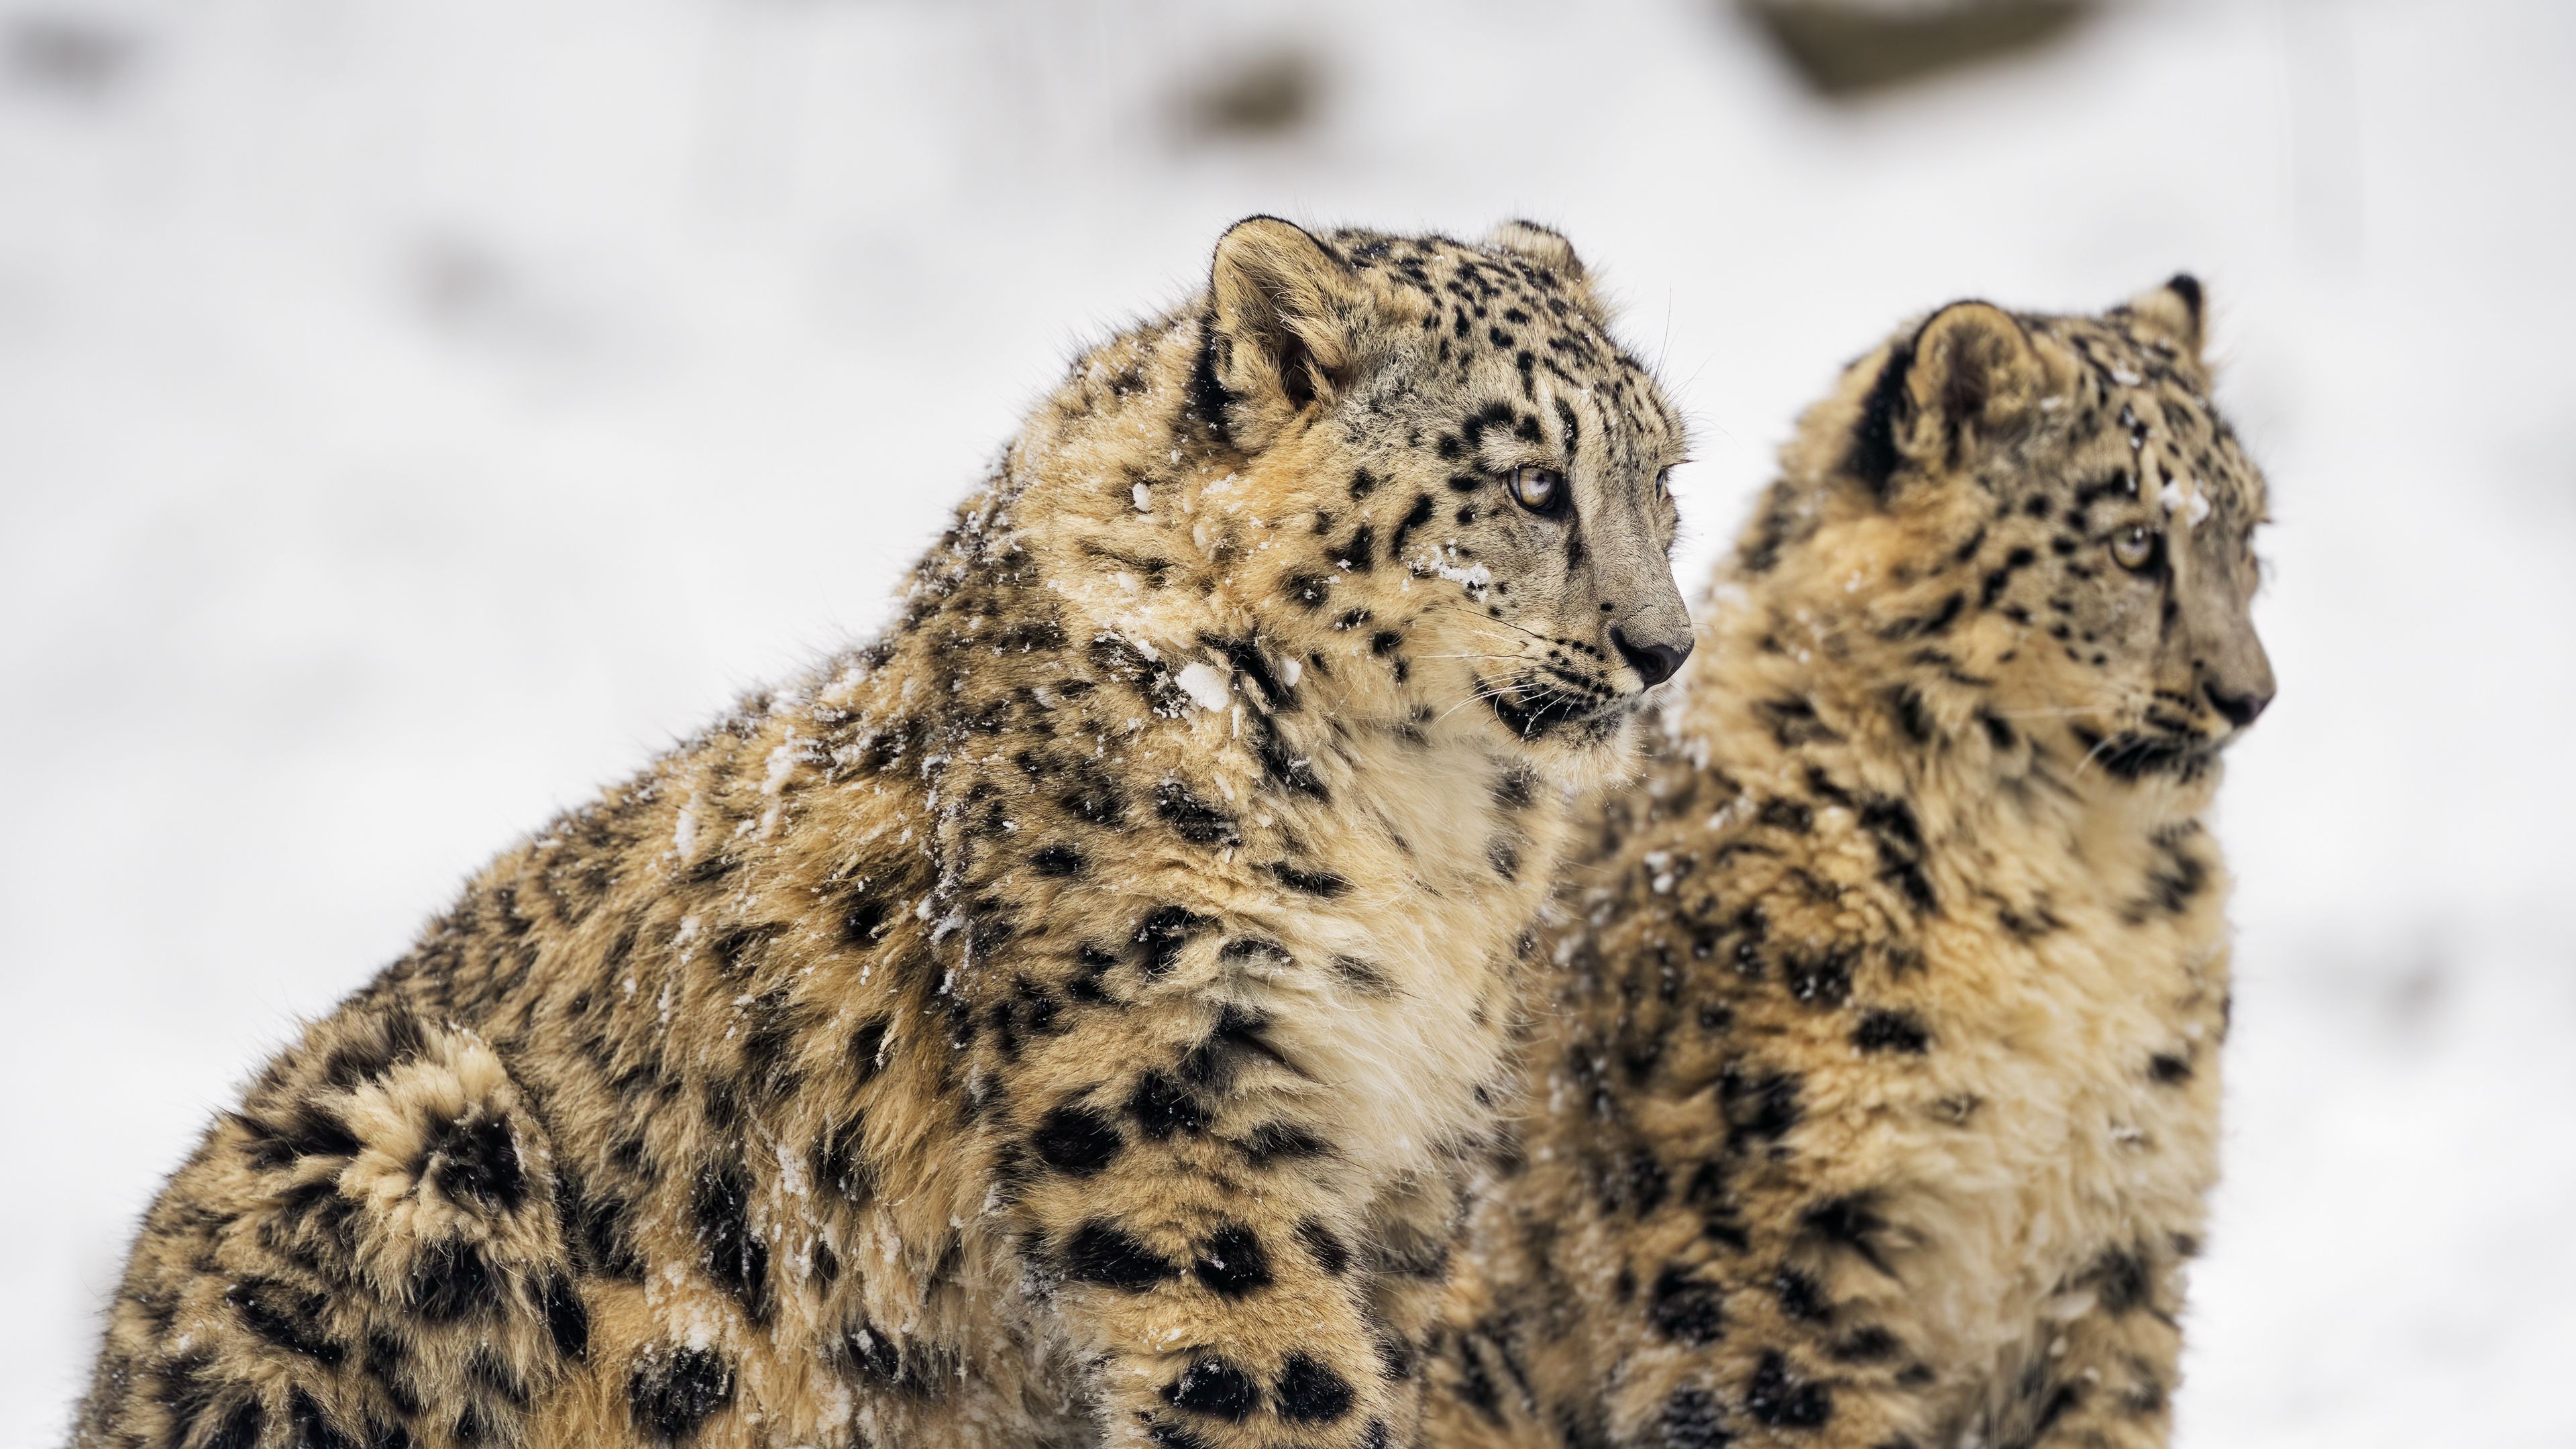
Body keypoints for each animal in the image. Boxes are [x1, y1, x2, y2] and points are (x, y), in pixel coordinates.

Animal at [65, 214, 1690, 1444]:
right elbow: (1268, 1371)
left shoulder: (1406, 1163)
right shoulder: (1176, 1093)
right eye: (1530, 481)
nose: (1664, 647)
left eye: (1664, 476)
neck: (1430, 852)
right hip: (407, 1138)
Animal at [1432, 280, 2277, 1444]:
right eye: (2133, 543)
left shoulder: (2118, 1249)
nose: (2253, 693)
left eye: (2252, 536)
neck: (2075, 885)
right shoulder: (1765, 1264)